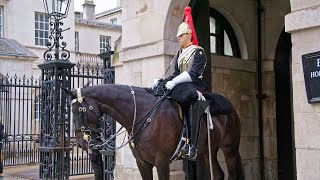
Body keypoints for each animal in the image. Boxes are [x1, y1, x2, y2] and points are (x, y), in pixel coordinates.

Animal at [65, 84, 245, 180]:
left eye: (78, 110)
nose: (81, 144)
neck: (144, 115)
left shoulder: (162, 162)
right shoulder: (142, 163)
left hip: (229, 149)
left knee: (232, 175)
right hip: (208, 151)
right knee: (219, 174)